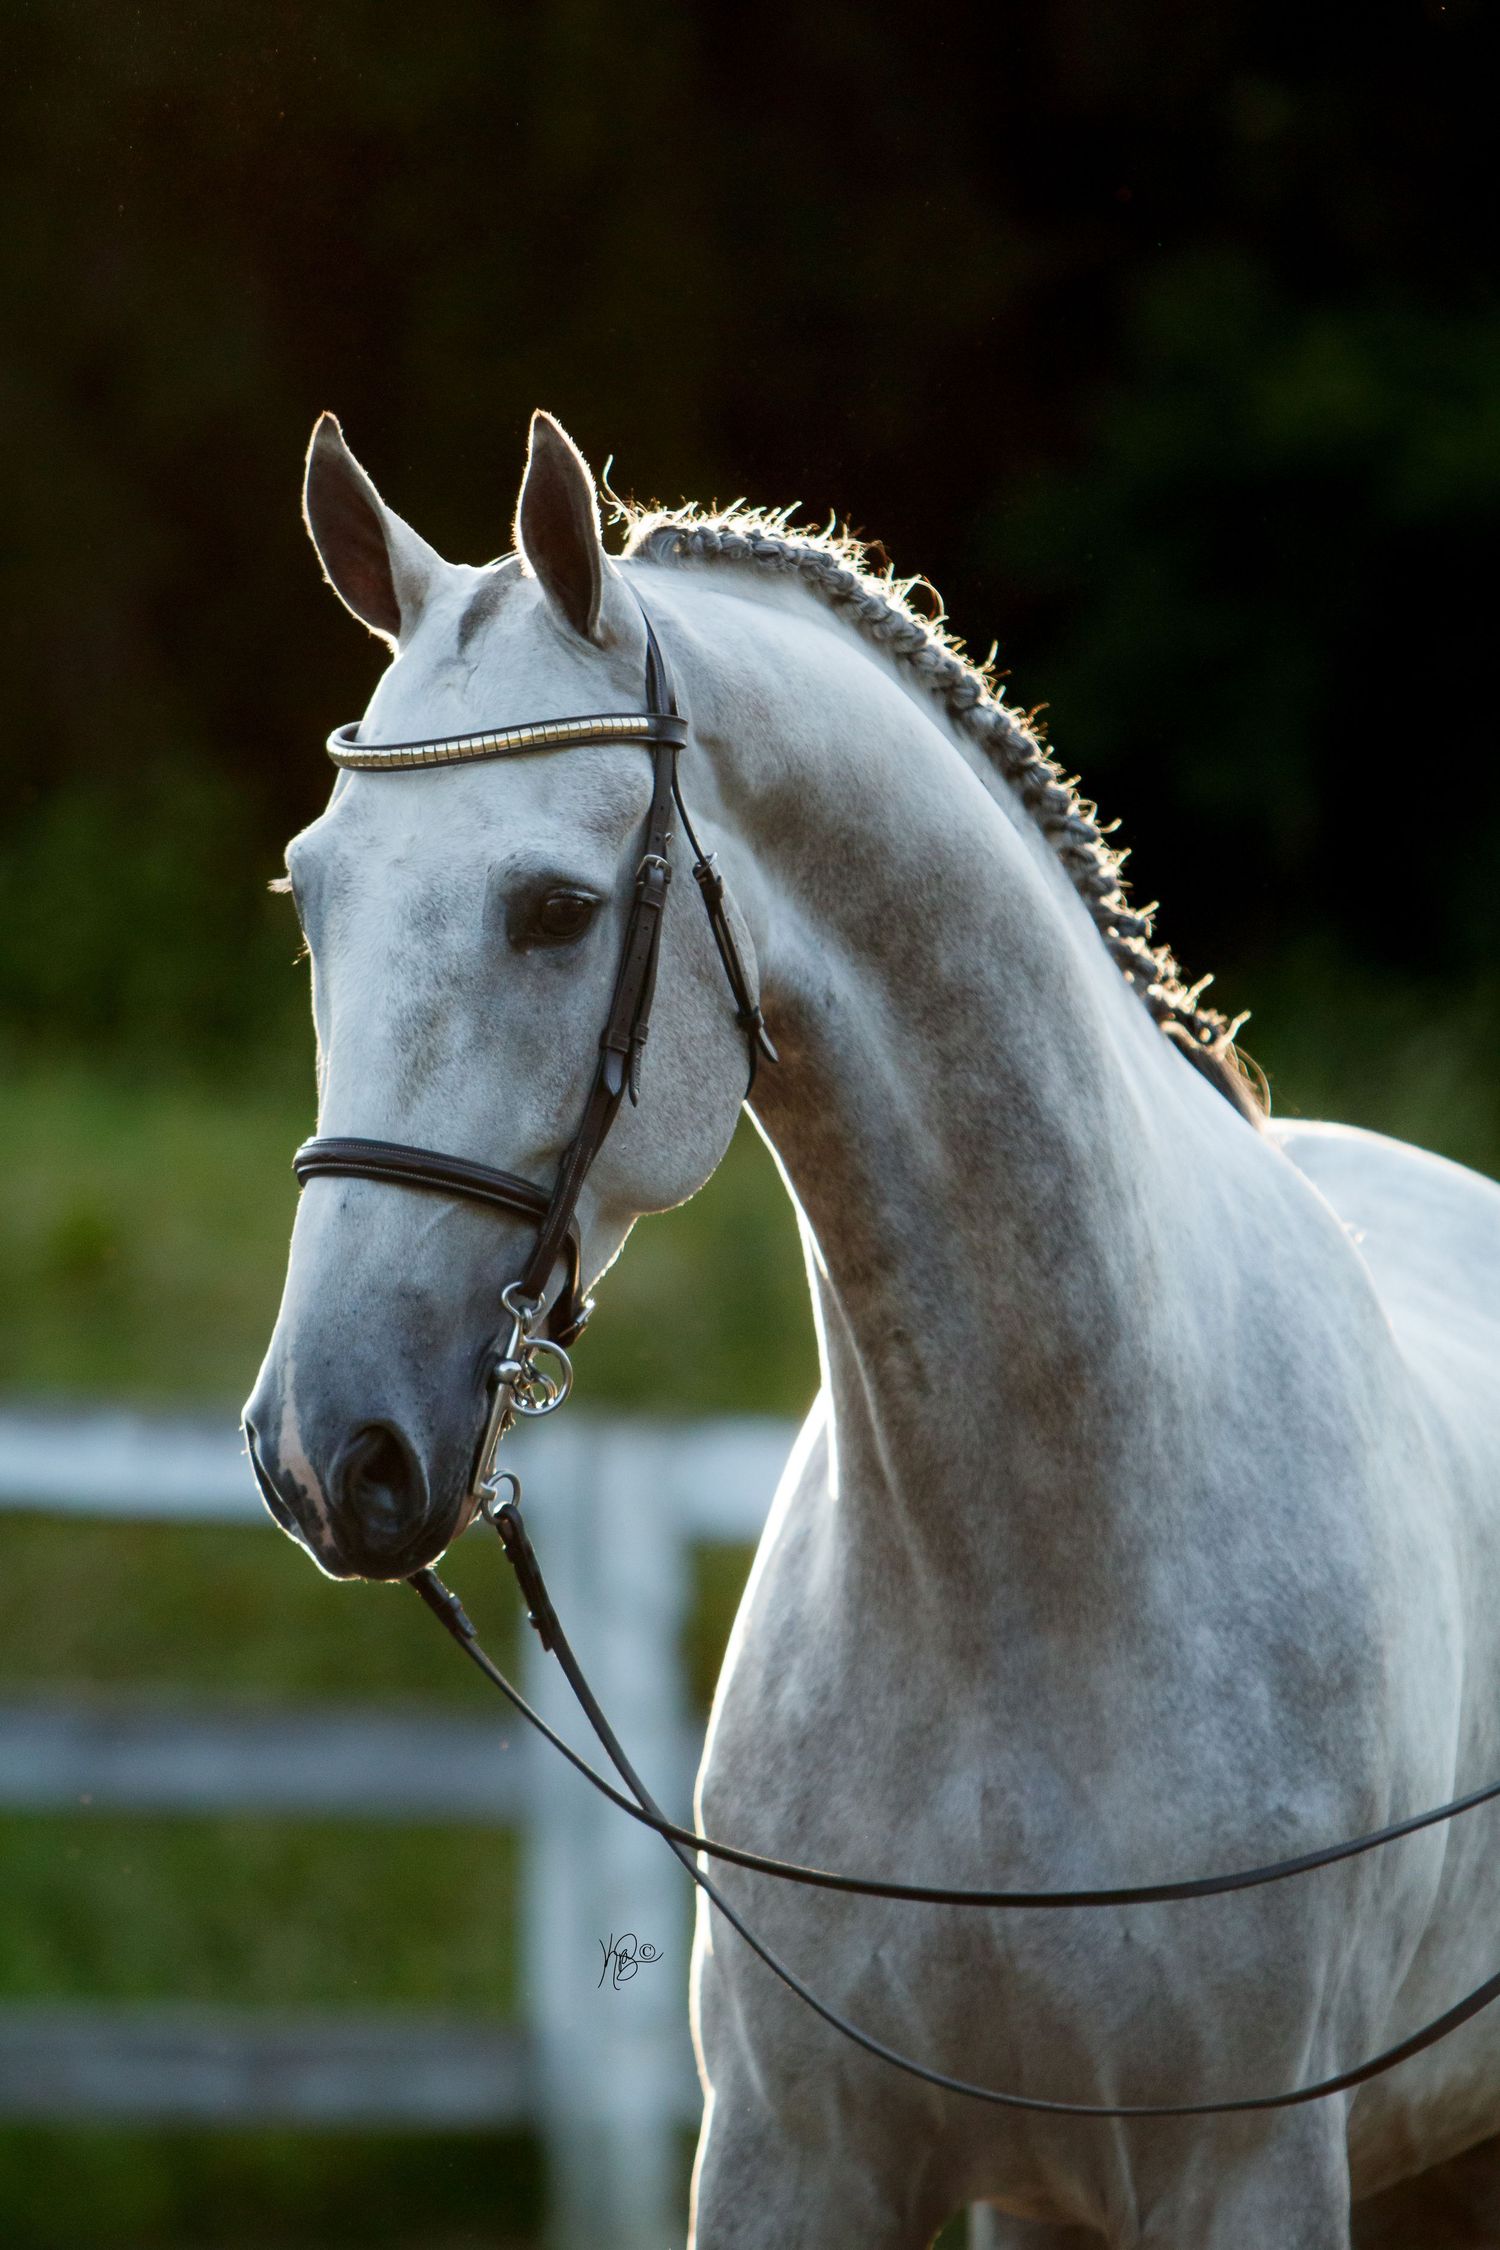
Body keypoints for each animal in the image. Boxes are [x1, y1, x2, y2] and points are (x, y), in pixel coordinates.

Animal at [244, 409, 1500, 2247]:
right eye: (310, 894)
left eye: (551, 909)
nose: (326, 1449)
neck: (1022, 1569)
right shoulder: (796, 2155)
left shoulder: (1246, 2172)